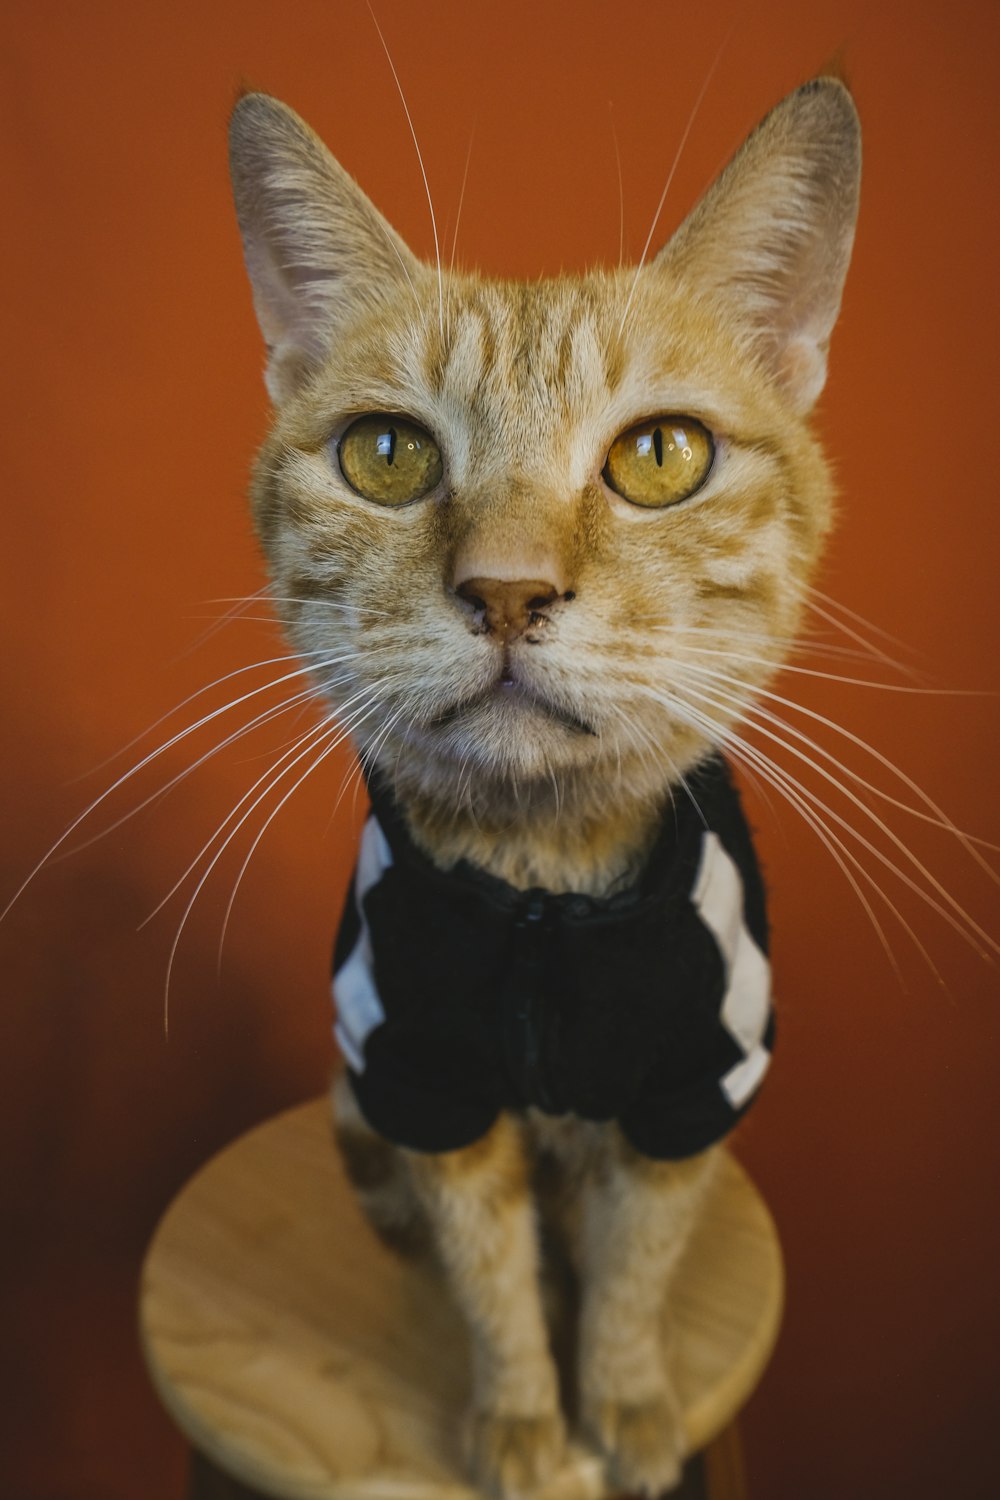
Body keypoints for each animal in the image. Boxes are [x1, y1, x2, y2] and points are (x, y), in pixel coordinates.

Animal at [226, 82, 863, 1500]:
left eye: (663, 454)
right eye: (388, 453)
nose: (507, 589)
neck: (542, 890)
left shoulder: (692, 1089)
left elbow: (632, 1270)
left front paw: (624, 1401)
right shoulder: (418, 1077)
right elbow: (490, 1276)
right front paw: (522, 1421)